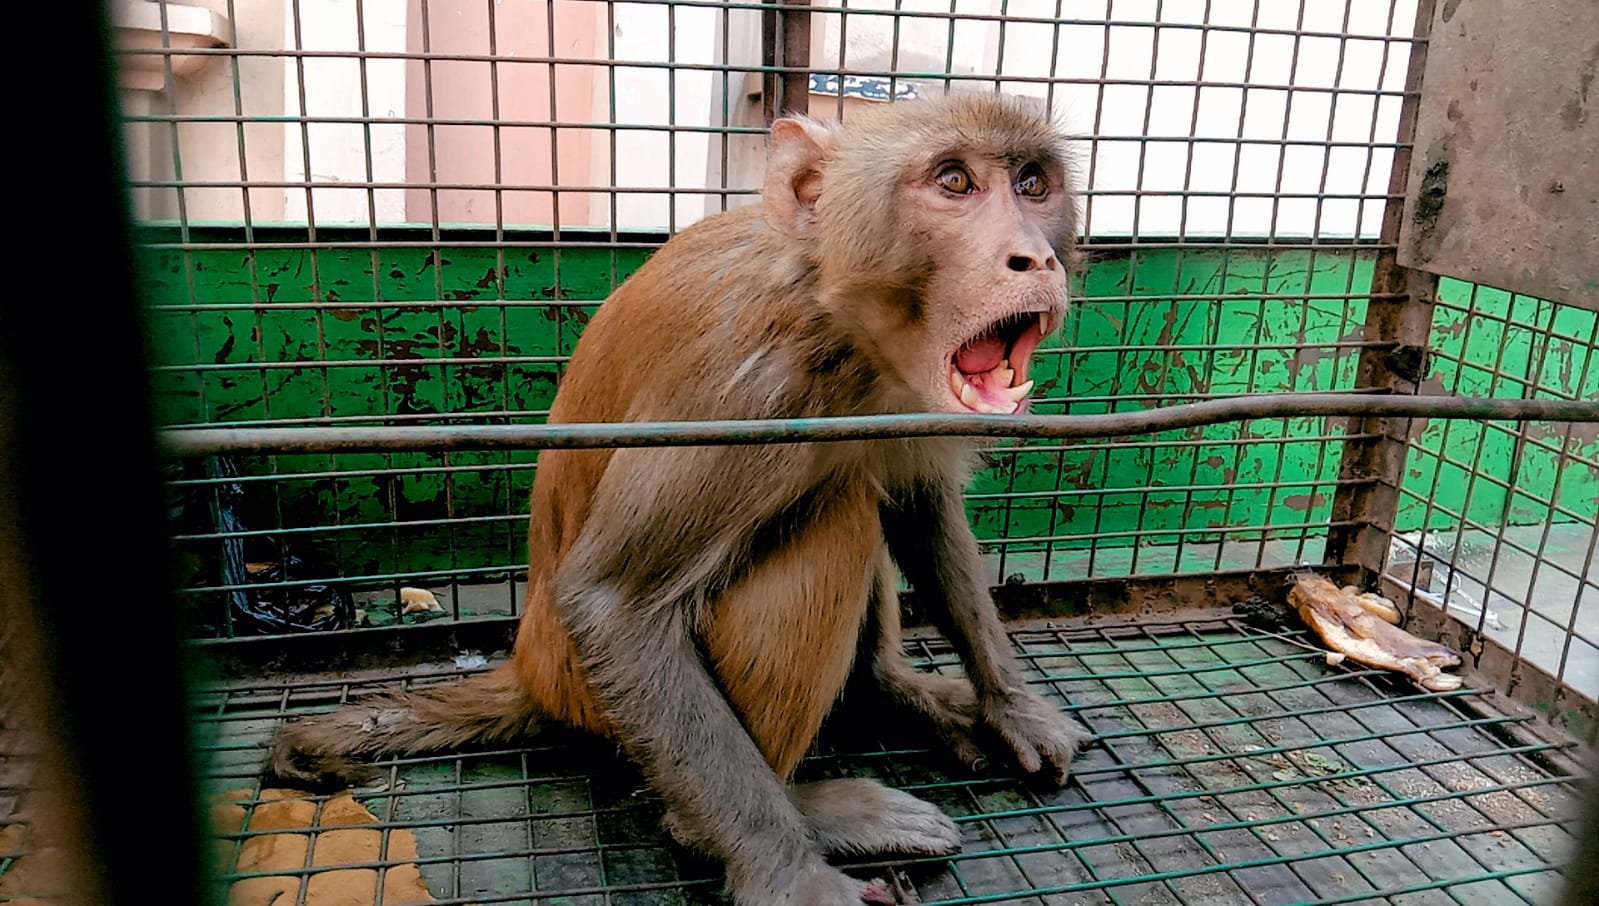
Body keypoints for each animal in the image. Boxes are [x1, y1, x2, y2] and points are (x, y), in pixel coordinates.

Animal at [268, 92, 1090, 905]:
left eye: (1032, 184)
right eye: (954, 183)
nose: (1036, 256)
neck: (834, 322)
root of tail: (533, 672)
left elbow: (921, 505)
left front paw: (1008, 706)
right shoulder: (741, 391)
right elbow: (615, 607)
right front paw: (790, 876)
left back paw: (887, 691)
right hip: (596, 699)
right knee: (836, 521)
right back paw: (760, 818)